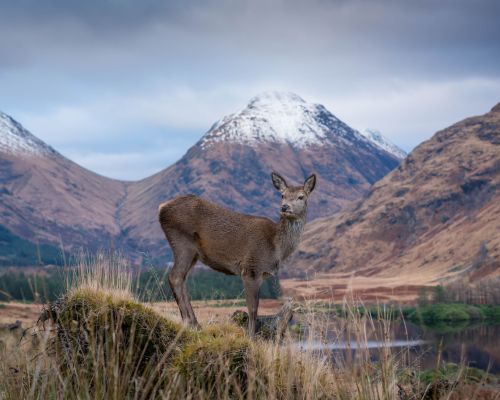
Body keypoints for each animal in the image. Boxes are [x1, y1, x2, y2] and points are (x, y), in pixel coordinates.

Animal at [159, 172, 316, 338]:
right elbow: (253, 308)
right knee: (175, 277)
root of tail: (161, 208)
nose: (284, 207)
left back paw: (195, 323)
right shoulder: (251, 268)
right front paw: (251, 337)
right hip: (182, 243)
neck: (277, 247)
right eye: (282, 195)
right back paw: (189, 322)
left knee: (182, 279)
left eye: (301, 196)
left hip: (193, 253)